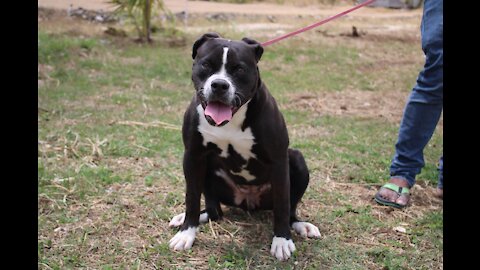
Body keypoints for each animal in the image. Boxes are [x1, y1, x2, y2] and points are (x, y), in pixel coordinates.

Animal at [167, 32, 320, 260]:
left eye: (239, 69)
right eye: (206, 65)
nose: (219, 85)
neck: (230, 120)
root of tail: (248, 201)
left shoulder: (279, 161)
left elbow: (283, 204)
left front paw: (282, 240)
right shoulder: (193, 157)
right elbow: (192, 198)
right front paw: (187, 233)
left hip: (296, 160)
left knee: (290, 208)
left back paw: (300, 225)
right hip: (208, 168)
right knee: (214, 211)